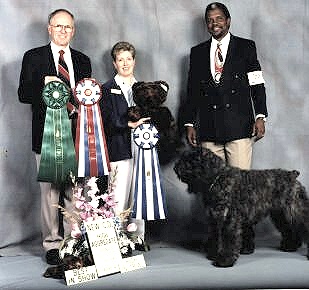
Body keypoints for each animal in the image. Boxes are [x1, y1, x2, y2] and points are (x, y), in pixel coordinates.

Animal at [173, 148, 308, 266]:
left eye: (191, 160)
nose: (175, 168)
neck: (217, 178)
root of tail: (292, 175)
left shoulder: (229, 219)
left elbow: (228, 239)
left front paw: (224, 260)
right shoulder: (214, 218)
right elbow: (216, 237)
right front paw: (213, 254)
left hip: (295, 211)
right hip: (281, 214)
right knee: (289, 229)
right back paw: (290, 246)